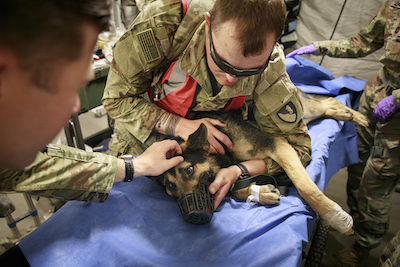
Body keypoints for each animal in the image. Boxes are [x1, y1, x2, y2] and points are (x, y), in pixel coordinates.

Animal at [151, 93, 368, 236]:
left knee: (328, 99)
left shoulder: (278, 146)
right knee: (326, 105)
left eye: (188, 170)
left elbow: (305, 187)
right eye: (170, 186)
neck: (223, 151)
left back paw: (357, 116)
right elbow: (235, 188)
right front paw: (262, 193)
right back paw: (344, 114)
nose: (193, 215)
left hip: (303, 111)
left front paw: (337, 218)